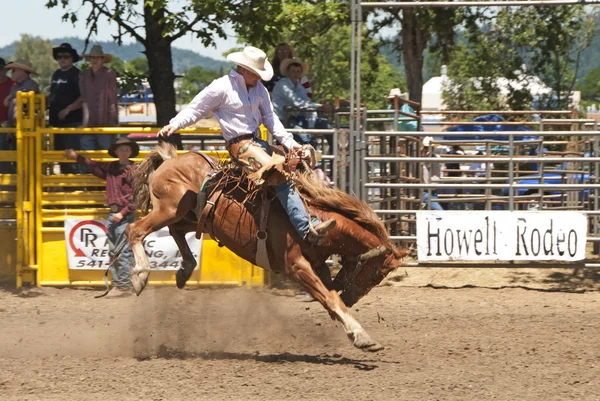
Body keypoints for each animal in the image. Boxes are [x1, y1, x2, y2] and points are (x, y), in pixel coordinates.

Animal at [126, 143, 408, 350]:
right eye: (375, 273)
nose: (351, 297)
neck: (315, 220)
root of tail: (171, 159)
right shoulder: (295, 266)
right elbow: (330, 298)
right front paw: (362, 336)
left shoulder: (318, 266)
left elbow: (330, 298)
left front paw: (353, 328)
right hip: (169, 208)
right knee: (134, 230)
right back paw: (140, 275)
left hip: (191, 216)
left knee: (175, 231)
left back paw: (185, 269)